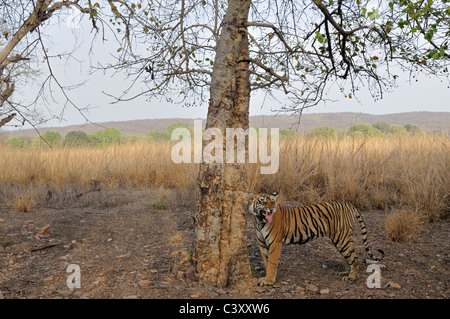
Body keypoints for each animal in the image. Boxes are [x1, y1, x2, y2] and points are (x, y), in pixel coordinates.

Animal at [248, 191, 384, 286]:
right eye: (263, 202)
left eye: (272, 201)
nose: (271, 210)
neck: (260, 221)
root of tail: (348, 204)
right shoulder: (262, 244)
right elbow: (266, 261)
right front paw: (266, 277)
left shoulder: (275, 243)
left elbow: (271, 262)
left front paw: (269, 280)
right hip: (343, 240)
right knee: (350, 257)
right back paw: (347, 272)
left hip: (342, 239)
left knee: (354, 259)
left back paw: (351, 277)